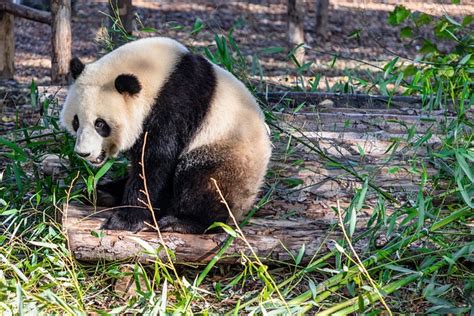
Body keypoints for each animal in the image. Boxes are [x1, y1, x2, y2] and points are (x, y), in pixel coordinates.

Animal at [61, 37, 272, 235]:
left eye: (100, 124)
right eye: (76, 122)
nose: (83, 153)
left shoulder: (174, 105)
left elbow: (156, 161)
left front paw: (125, 219)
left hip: (228, 152)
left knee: (203, 182)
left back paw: (184, 222)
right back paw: (102, 193)